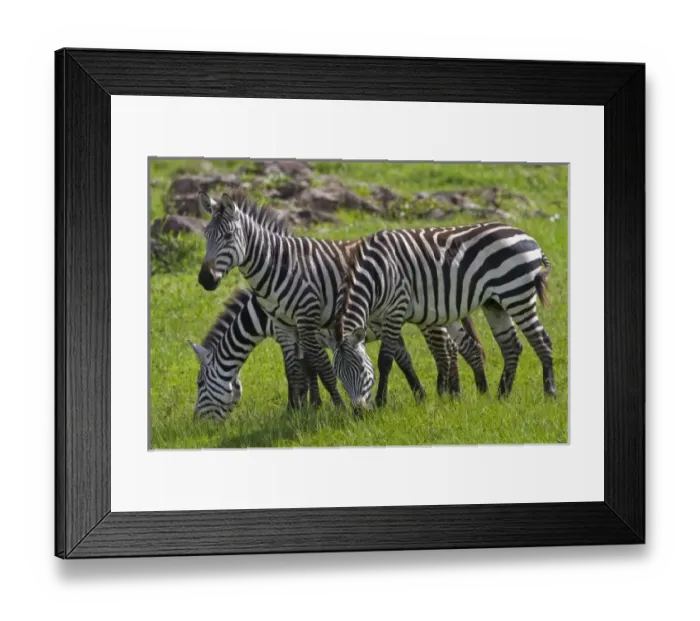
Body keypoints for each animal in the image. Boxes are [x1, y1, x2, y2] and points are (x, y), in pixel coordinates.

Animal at [195, 192, 481, 411]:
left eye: (199, 384)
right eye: (205, 236)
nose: (205, 279)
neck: (280, 267)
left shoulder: (302, 326)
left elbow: (311, 367)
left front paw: (306, 406)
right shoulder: (293, 330)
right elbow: (302, 368)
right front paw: (306, 406)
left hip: (429, 314)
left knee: (445, 349)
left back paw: (448, 393)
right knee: (458, 346)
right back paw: (456, 392)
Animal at [332, 222, 556, 411]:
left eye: (362, 369)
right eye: (339, 376)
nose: (359, 412)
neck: (376, 275)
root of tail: (529, 238)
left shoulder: (396, 309)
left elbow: (385, 360)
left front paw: (380, 402)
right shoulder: (379, 318)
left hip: (517, 294)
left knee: (542, 340)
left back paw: (550, 393)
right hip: (495, 304)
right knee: (511, 346)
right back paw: (501, 395)